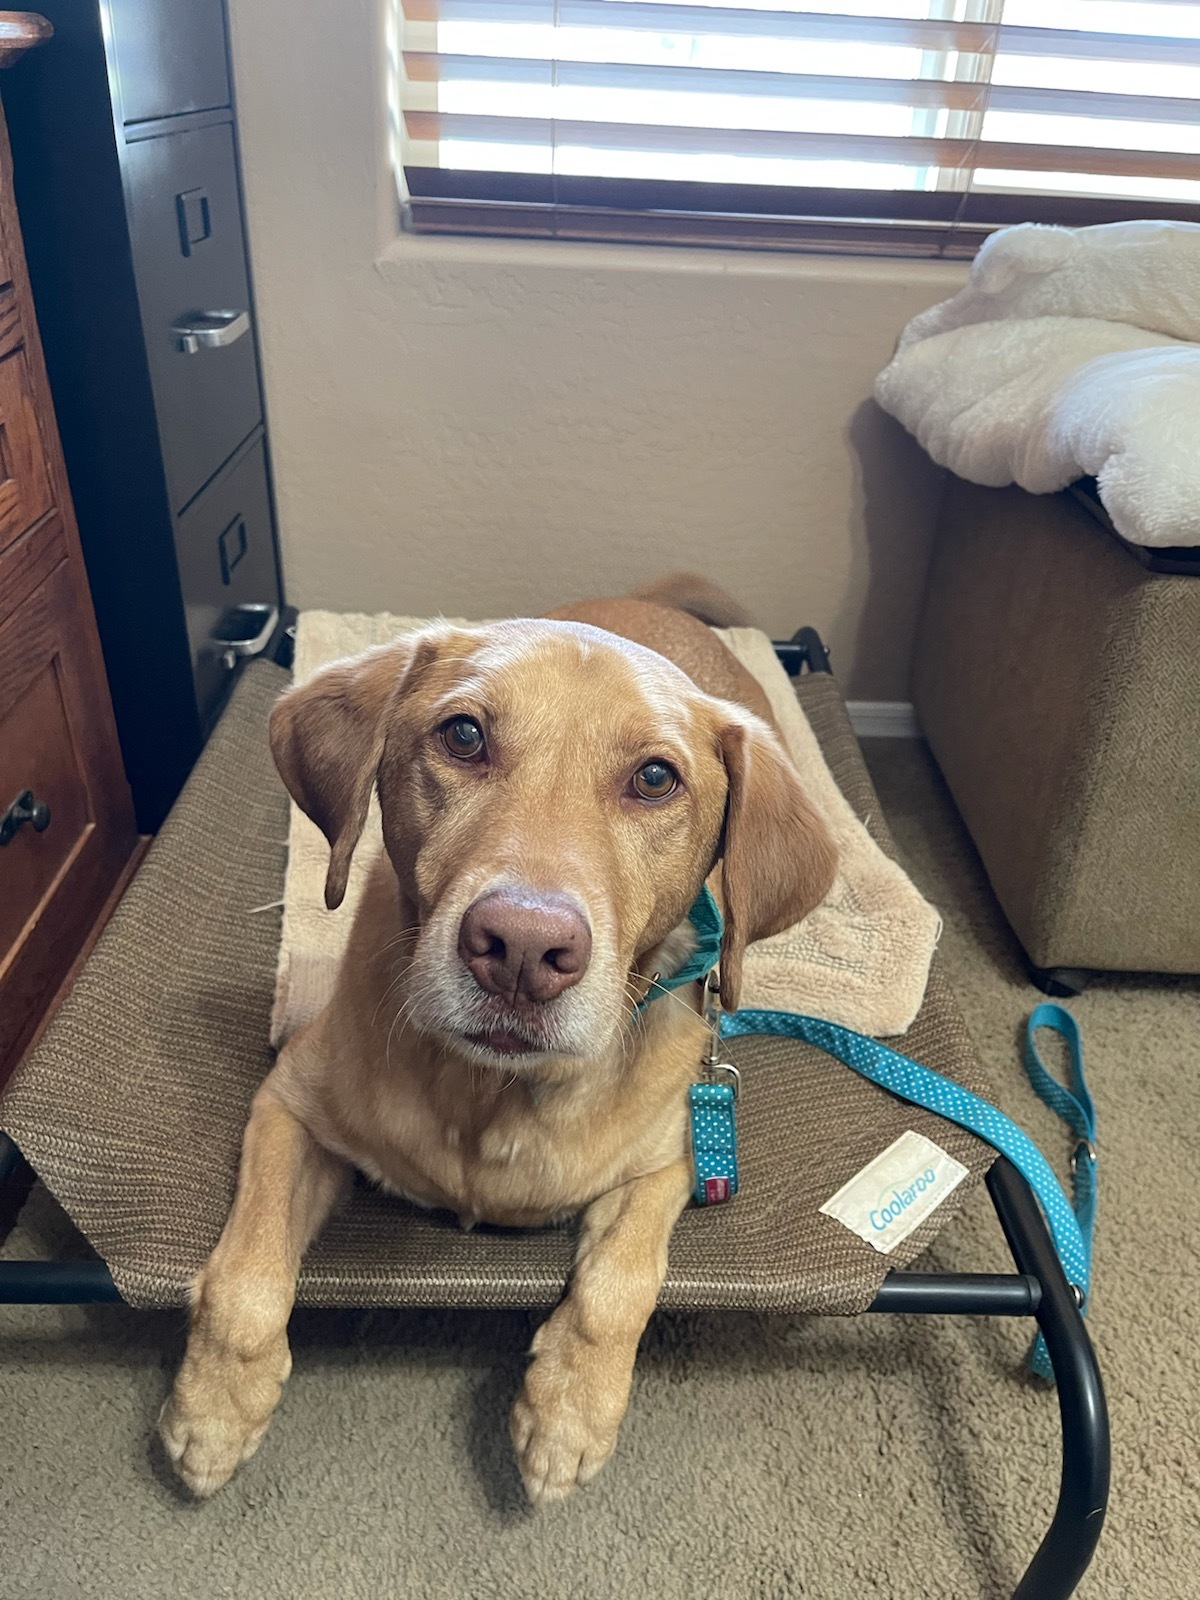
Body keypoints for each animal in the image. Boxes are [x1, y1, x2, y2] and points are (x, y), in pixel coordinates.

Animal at [160, 582, 838, 1504]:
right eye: (463, 735)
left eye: (655, 778)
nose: (522, 949)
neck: (492, 1092)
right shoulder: (288, 1103)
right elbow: (247, 1273)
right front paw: (216, 1405)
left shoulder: (674, 1159)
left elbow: (619, 1286)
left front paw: (569, 1411)